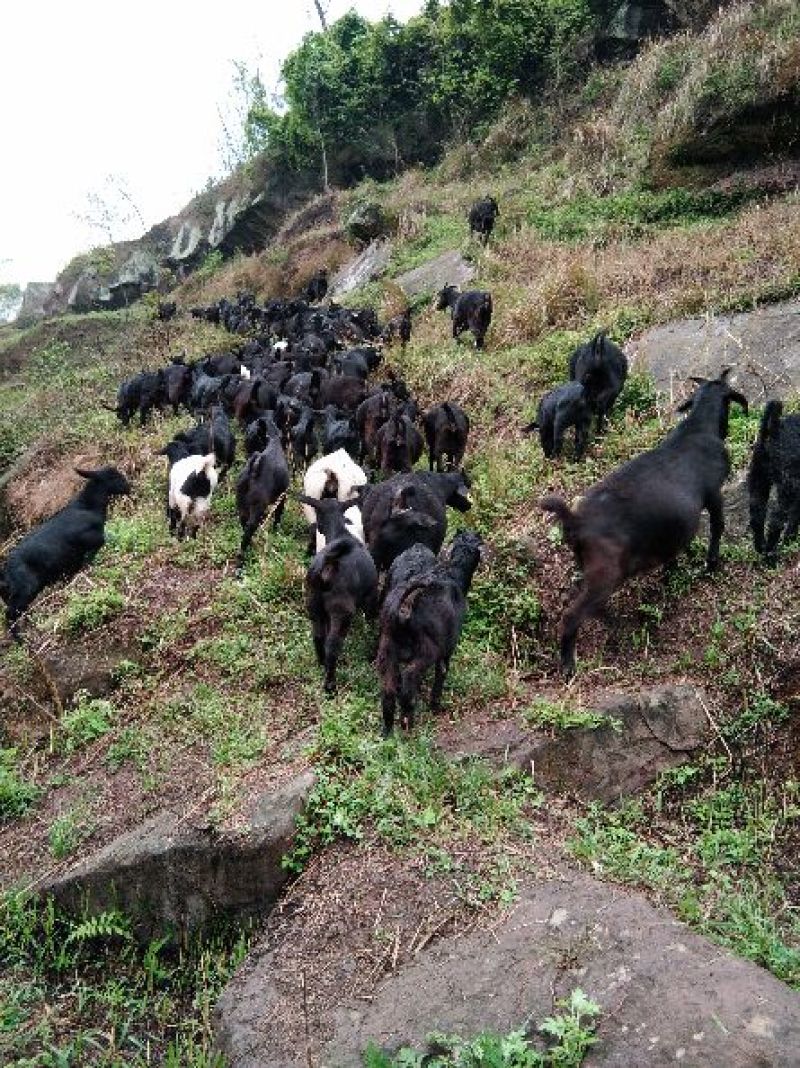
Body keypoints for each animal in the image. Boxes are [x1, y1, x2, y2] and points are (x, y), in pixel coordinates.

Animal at [0, 465, 129, 632]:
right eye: (113, 476)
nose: (128, 487)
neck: (87, 507)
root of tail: (4, 573)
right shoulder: (88, 538)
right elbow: (102, 541)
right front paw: (88, 563)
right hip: (25, 589)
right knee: (10, 615)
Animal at [299, 497, 378, 696]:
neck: (341, 533)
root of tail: (327, 565)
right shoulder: (371, 596)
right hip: (340, 610)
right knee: (332, 645)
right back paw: (330, 686)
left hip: (314, 603)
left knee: (318, 636)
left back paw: (322, 664)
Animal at [380, 531, 482, 734]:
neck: (452, 572)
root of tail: (402, 610)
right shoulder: (446, 651)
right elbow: (441, 675)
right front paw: (435, 707)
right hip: (426, 652)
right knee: (408, 680)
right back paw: (407, 723)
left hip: (387, 651)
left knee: (388, 690)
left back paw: (388, 731)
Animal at [540, 371, 747, 670]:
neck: (697, 429)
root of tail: (575, 520)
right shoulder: (713, 492)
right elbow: (718, 527)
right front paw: (711, 566)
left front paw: (674, 571)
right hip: (606, 573)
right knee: (573, 615)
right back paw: (569, 664)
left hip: (590, 567)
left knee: (591, 603)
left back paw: (619, 625)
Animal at [747, 395, 798, 559]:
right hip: (787, 485)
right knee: (777, 518)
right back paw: (771, 552)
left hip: (759, 475)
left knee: (757, 513)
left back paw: (761, 546)